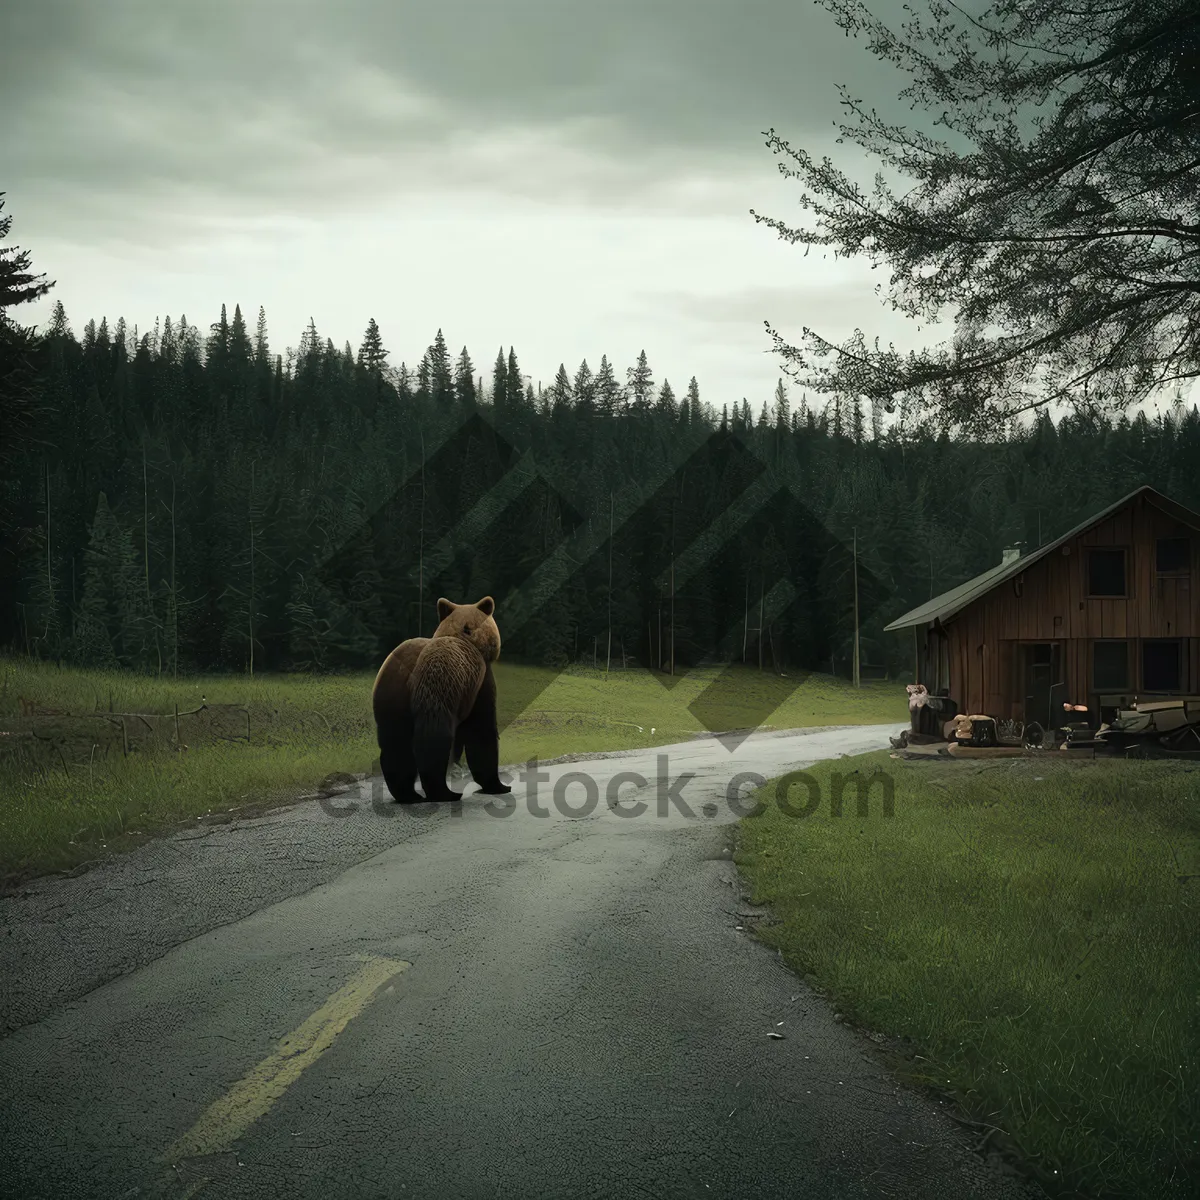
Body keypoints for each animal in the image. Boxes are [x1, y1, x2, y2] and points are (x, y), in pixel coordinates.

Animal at [369, 595, 511, 801]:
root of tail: (407, 674)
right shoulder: (478, 684)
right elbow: (481, 730)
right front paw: (498, 785)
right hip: (435, 690)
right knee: (432, 743)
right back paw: (444, 792)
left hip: (390, 700)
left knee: (396, 745)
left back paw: (408, 795)